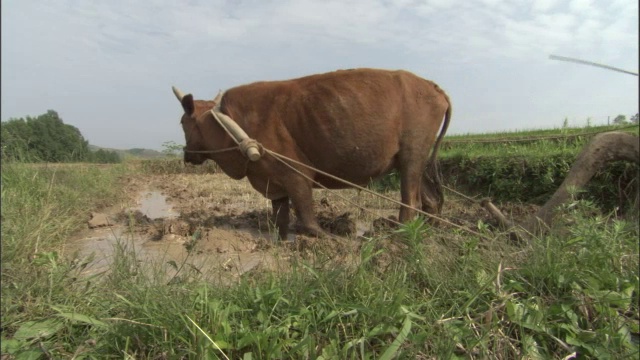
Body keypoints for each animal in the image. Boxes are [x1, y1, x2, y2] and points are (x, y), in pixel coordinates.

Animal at [170, 69, 450, 240]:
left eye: (183, 123)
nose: (186, 154)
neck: (229, 122)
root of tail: (433, 87)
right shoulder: (272, 182)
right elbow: (280, 219)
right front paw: (279, 241)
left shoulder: (294, 173)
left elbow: (307, 219)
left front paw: (332, 239)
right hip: (414, 160)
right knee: (430, 199)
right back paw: (431, 232)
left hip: (412, 155)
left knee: (410, 200)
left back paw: (398, 235)